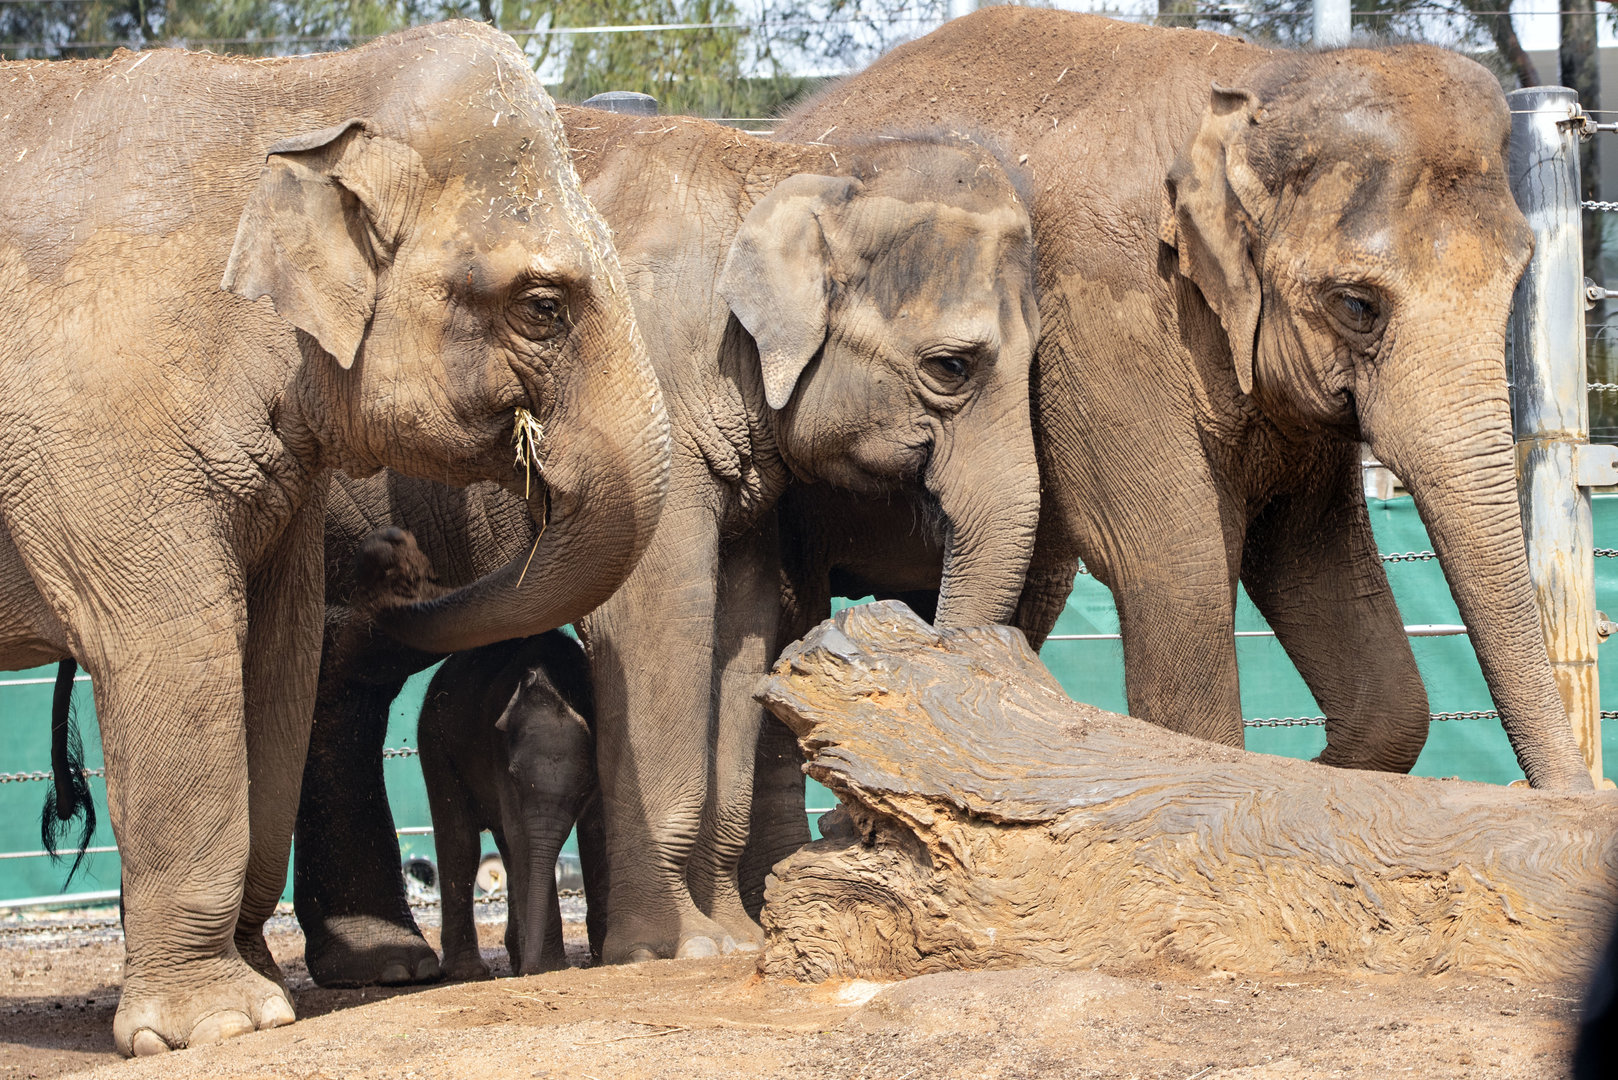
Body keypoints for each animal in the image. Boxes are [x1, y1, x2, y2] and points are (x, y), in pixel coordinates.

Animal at [0, 23, 667, 1055]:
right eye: (543, 305)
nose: (396, 559)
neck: (294, 88)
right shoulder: (101, 424)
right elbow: (174, 648)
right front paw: (216, 1025)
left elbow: (276, 656)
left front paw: (264, 985)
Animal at [295, 103, 1043, 975]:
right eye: (952, 367)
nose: (394, 561)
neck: (791, 169)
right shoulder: (647, 403)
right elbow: (660, 622)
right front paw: (680, 949)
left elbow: (740, 630)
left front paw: (737, 938)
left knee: (338, 682)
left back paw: (381, 962)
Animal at [772, 6, 1593, 792]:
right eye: (1357, 305)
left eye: (1518, 279)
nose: (1574, 796)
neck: (1253, 88)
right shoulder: (1105, 313)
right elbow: (1176, 572)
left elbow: (1317, 572)